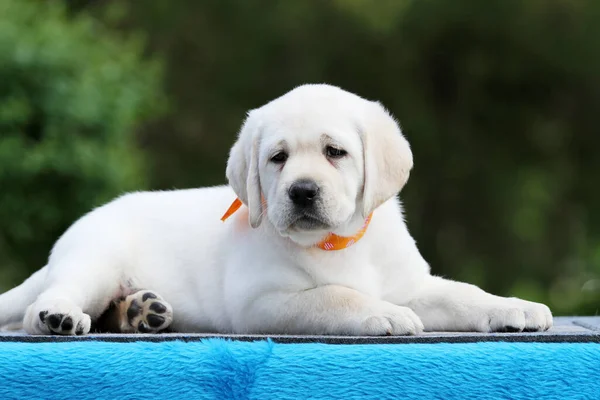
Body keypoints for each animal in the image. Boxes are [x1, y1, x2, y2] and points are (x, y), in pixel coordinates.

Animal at [0, 84, 552, 334]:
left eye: (335, 152)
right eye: (278, 158)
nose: (302, 192)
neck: (338, 242)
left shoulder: (412, 283)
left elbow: (462, 293)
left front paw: (512, 307)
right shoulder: (262, 300)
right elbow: (333, 295)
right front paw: (383, 313)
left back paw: (140, 311)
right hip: (95, 263)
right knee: (41, 305)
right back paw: (58, 316)